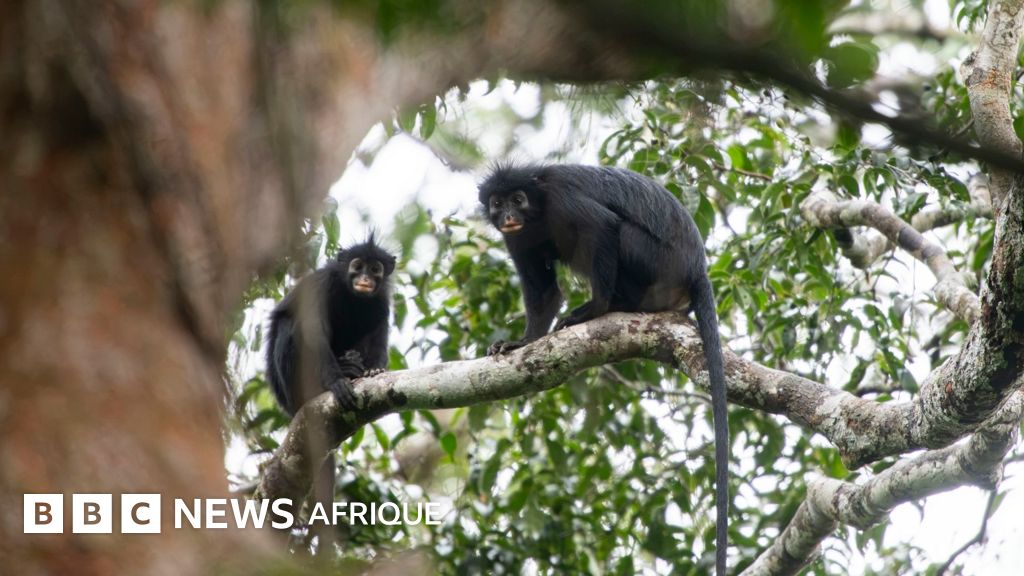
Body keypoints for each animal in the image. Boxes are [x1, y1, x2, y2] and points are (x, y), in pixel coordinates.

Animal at [266, 235, 396, 415]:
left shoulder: (382, 301)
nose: (365, 279)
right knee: (287, 324)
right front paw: (336, 382)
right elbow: (314, 332)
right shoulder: (322, 284)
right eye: (358, 267)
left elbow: (378, 338)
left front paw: (374, 369)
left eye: (374, 269)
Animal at [479, 163, 729, 574]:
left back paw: (614, 305)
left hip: (655, 261)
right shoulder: (517, 239)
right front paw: (522, 342)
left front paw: (595, 308)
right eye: (498, 204)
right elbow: (543, 293)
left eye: (518, 199)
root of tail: (697, 268)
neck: (539, 209)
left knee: (620, 232)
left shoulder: (563, 198)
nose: (509, 215)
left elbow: (603, 227)